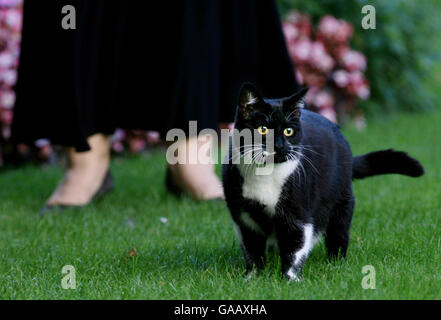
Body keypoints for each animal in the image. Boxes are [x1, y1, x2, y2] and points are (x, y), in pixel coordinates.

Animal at [222, 84, 424, 282]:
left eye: (289, 131)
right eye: (263, 129)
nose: (279, 146)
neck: (265, 176)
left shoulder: (298, 213)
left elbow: (295, 246)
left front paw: (289, 280)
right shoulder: (244, 217)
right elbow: (252, 249)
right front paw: (252, 278)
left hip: (342, 201)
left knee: (338, 233)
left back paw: (336, 263)